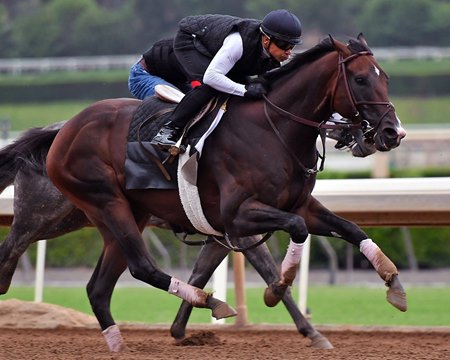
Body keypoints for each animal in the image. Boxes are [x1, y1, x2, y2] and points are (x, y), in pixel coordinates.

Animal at [0, 127, 330, 348]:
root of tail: (55, 135)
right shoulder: (241, 229)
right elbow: (272, 275)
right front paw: (310, 331)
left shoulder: (222, 234)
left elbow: (201, 272)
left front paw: (181, 329)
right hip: (43, 216)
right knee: (11, 247)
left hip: (71, 218)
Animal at [44, 34, 402, 352]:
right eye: (359, 79)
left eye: (384, 77)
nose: (392, 132)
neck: (271, 129)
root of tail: (65, 130)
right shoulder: (238, 217)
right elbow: (291, 238)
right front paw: (278, 288)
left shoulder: (298, 205)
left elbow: (350, 229)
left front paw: (393, 282)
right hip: (107, 202)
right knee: (141, 268)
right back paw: (210, 302)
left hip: (131, 213)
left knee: (98, 288)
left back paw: (119, 344)